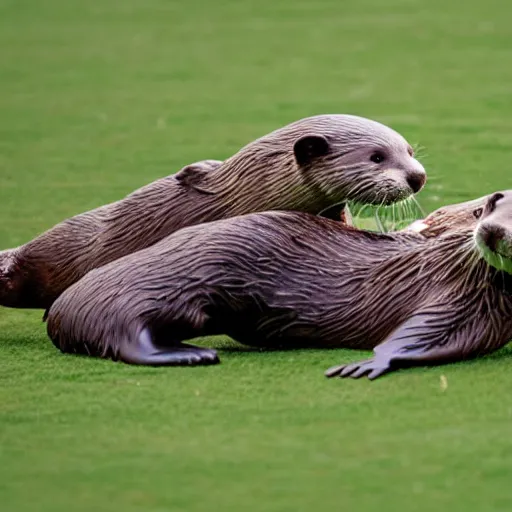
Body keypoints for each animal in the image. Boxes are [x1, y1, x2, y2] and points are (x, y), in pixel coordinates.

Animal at [46, 190, 512, 378]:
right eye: (488, 208)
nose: (492, 232)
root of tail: (62, 307)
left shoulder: (483, 317)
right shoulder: (454, 293)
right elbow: (414, 334)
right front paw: (370, 362)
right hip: (168, 281)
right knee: (124, 331)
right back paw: (191, 355)